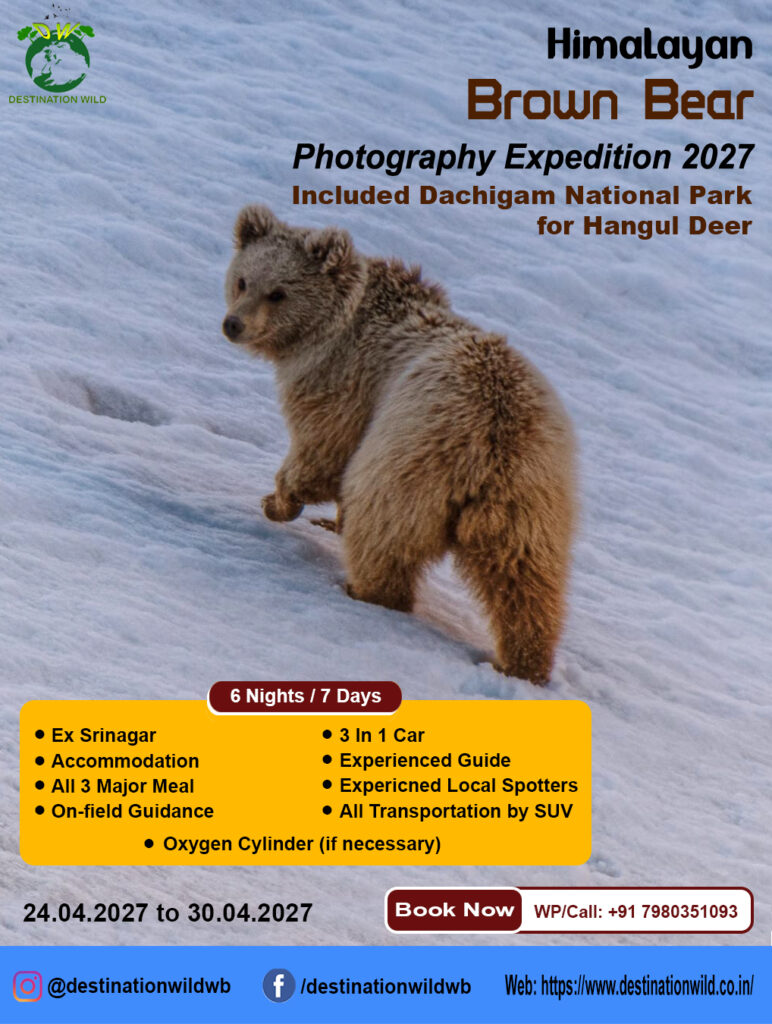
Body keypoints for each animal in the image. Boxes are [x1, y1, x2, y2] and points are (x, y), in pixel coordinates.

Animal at [222, 205, 576, 684]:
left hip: (410, 460)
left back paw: (364, 590)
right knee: (526, 580)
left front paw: (278, 501)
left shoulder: (344, 380)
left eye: (279, 292)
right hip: (534, 504)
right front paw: (323, 516)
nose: (233, 324)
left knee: (383, 532)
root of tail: (495, 448)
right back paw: (524, 660)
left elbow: (322, 448)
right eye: (243, 280)